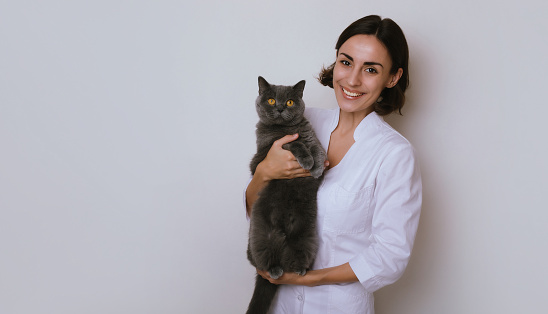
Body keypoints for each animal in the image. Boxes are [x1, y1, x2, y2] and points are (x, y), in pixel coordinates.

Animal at [247, 76, 326, 314]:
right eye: (271, 100)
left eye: (290, 102)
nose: (281, 108)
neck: (287, 129)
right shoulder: (269, 149)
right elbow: (295, 143)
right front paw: (308, 162)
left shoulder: (312, 137)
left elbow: (318, 148)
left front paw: (317, 167)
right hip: (260, 238)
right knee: (260, 262)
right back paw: (273, 270)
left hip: (306, 243)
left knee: (293, 262)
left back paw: (299, 270)